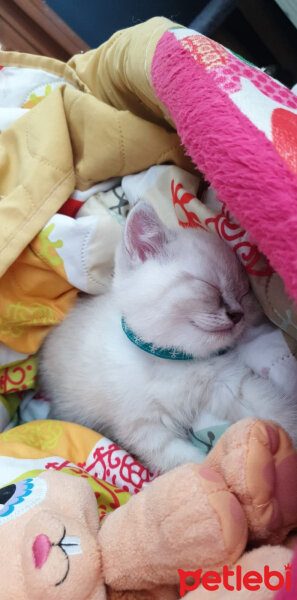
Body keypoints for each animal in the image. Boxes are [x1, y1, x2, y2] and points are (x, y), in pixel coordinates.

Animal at [38, 204, 296, 472]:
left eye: (244, 294)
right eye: (210, 288)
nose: (238, 315)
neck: (169, 359)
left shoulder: (228, 383)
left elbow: (276, 410)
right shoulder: (145, 429)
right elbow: (185, 464)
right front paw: (211, 474)